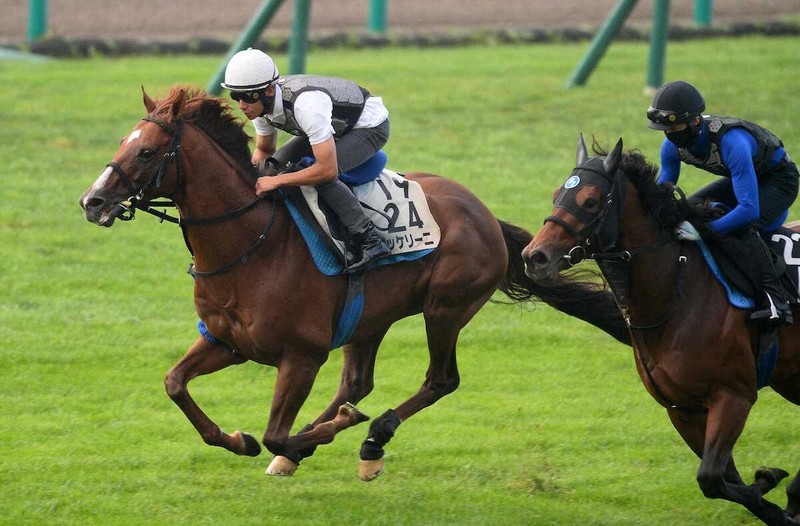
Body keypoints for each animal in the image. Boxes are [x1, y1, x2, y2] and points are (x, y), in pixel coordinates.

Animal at [83, 88, 632, 484]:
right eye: (120, 144)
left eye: (147, 150)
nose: (92, 201)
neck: (250, 245)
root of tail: (484, 213)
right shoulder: (227, 342)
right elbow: (176, 385)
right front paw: (241, 439)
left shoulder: (301, 356)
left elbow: (277, 432)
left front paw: (325, 432)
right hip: (371, 317)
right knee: (357, 382)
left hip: (445, 308)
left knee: (439, 380)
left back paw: (369, 438)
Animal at [520, 135, 800, 524]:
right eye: (556, 194)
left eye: (590, 200)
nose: (534, 257)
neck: (676, 295)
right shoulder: (682, 408)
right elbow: (723, 478)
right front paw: (771, 487)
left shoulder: (734, 395)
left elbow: (711, 477)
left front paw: (773, 492)